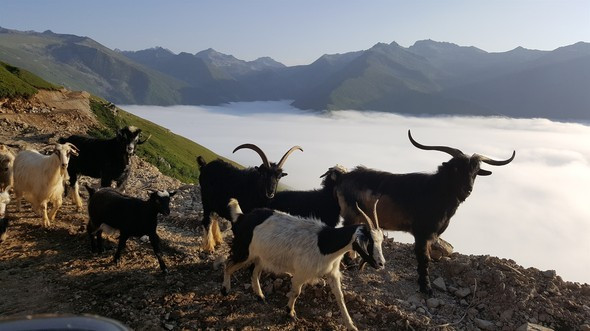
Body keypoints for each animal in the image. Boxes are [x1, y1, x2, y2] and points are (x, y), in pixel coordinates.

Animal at [224, 198, 386, 330]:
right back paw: (225, 290)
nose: (381, 264)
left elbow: (340, 297)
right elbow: (296, 292)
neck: (325, 243)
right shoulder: (301, 273)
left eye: (381, 241)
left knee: (254, 271)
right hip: (244, 251)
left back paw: (260, 296)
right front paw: (290, 313)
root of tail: (243, 217)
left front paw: (351, 326)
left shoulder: (332, 273)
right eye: (369, 242)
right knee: (228, 264)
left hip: (261, 256)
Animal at [338, 130, 520, 296]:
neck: (435, 191)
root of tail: (343, 178)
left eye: (475, 172)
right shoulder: (422, 233)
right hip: (352, 214)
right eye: (456, 168)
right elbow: (424, 259)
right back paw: (350, 264)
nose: (467, 189)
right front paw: (426, 288)